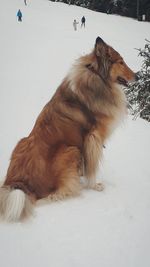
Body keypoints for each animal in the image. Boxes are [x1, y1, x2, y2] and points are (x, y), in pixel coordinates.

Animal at [0, 37, 136, 222]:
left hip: (22, 141)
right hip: (70, 150)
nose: (138, 76)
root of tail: (18, 183)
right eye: (121, 62)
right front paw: (95, 185)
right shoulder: (93, 138)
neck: (97, 76)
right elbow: (92, 166)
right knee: (53, 195)